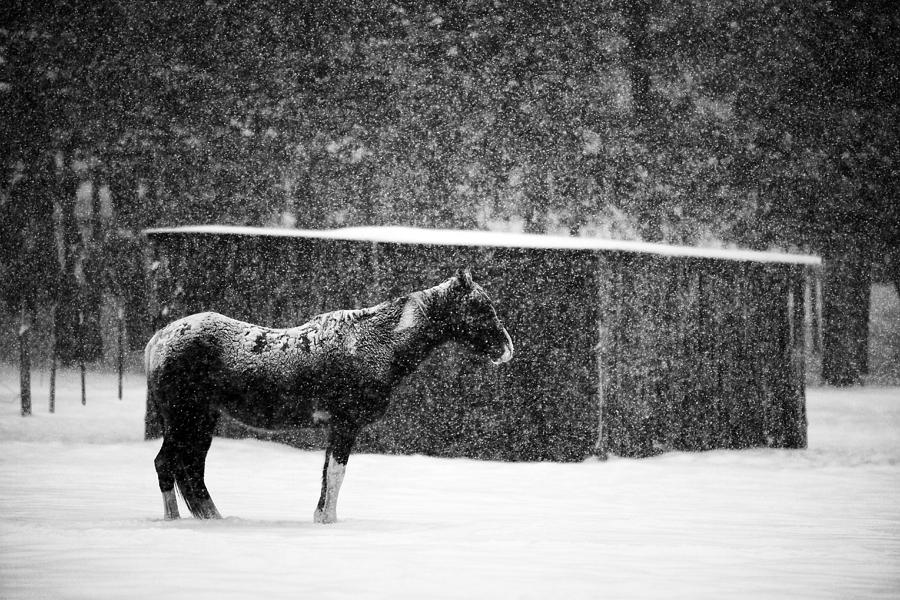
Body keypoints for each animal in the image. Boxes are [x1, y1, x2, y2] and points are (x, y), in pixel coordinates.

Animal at [146, 270, 512, 524]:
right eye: (480, 308)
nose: (506, 349)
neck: (379, 344)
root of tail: (156, 343)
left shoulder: (337, 426)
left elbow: (326, 475)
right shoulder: (346, 424)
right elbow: (336, 474)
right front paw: (328, 521)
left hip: (201, 420)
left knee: (191, 470)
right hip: (184, 418)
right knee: (167, 464)